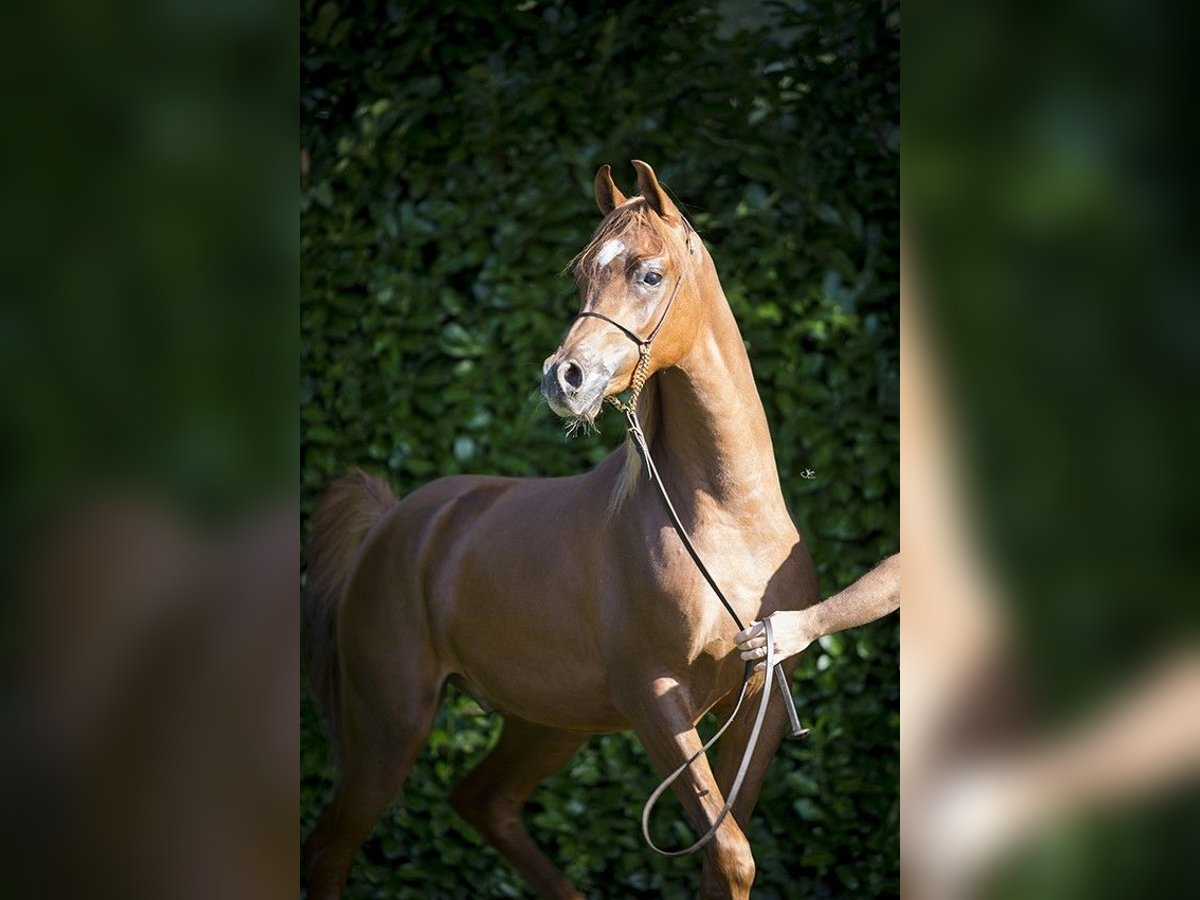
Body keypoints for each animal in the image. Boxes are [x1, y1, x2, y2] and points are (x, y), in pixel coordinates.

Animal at [304, 164, 820, 900]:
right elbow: (731, 855)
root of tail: (392, 525)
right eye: (580, 275)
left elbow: (724, 853)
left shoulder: (761, 707)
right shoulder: (656, 700)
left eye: (650, 274)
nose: (563, 378)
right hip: (390, 726)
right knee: (331, 851)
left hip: (545, 722)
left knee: (483, 802)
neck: (728, 523)